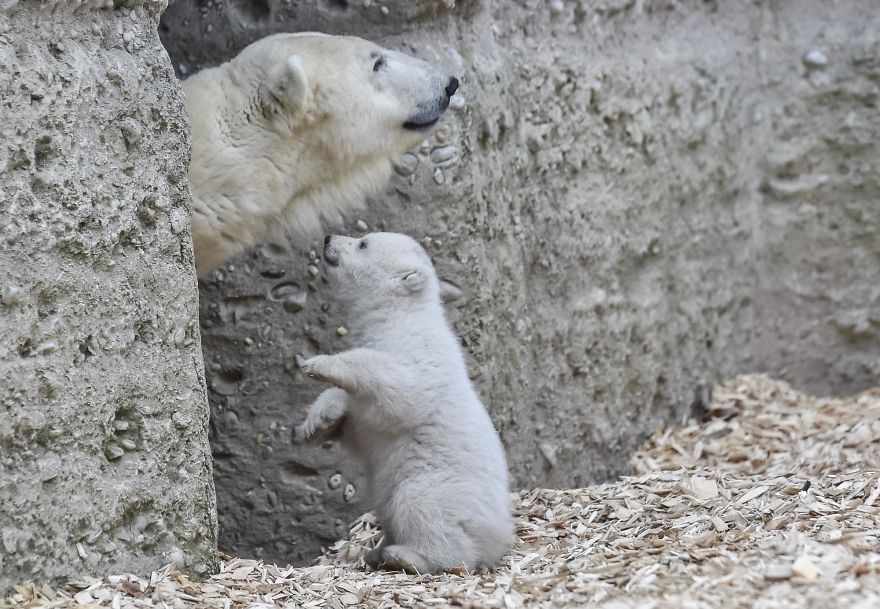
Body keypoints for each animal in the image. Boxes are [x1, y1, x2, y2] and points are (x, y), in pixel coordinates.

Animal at [294, 232, 513, 574]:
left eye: (363, 243)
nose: (329, 238)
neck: (402, 312)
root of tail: (498, 539)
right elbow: (356, 424)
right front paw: (317, 425)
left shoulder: (418, 350)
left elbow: (399, 390)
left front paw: (317, 363)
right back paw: (376, 552)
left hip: (439, 485)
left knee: (424, 509)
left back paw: (404, 555)